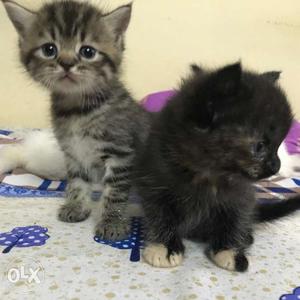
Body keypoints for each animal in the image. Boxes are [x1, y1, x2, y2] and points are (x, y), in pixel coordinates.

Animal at [3, 0, 150, 239]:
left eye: (87, 51)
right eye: (49, 49)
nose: (66, 62)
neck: (78, 110)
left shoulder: (121, 153)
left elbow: (115, 191)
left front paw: (112, 221)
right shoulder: (73, 153)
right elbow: (77, 183)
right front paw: (76, 206)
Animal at [136, 62, 300, 272]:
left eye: (279, 145)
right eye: (260, 146)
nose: (276, 166)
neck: (209, 174)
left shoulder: (241, 195)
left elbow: (236, 218)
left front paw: (229, 250)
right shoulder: (154, 183)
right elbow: (161, 216)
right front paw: (165, 247)